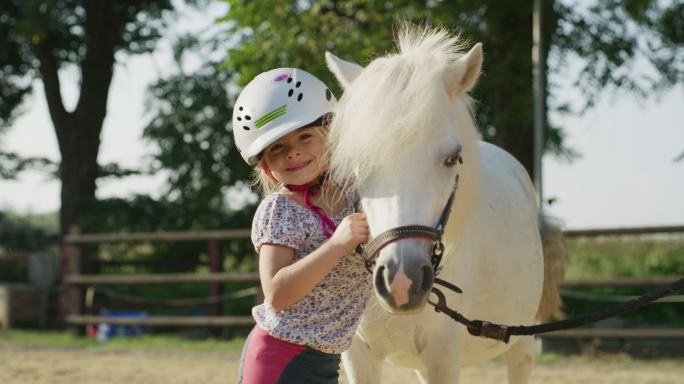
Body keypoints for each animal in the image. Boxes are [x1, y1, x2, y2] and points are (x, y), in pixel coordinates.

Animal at [326, 26, 568, 384]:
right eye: (358, 162)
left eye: (453, 158)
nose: (401, 280)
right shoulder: (359, 358)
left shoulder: (442, 357)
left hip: (522, 342)